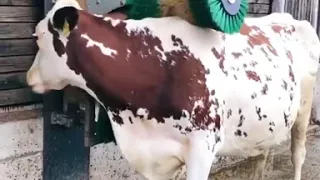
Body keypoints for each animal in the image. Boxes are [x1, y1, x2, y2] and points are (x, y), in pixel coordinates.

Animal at [25, 0, 320, 179]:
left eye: (37, 37)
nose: (29, 78)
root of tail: (292, 18)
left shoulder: (202, 148)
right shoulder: (152, 152)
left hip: (304, 111)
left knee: (298, 154)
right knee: (264, 152)